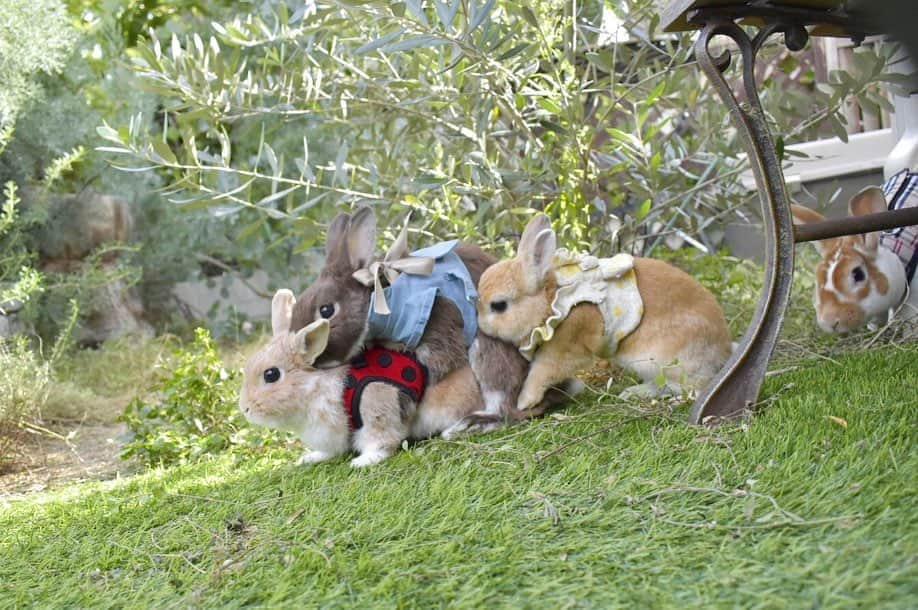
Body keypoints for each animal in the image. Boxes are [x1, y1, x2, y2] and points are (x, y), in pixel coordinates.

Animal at [474, 214, 732, 414]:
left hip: (668, 364)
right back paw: (632, 393)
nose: (479, 324)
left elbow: (541, 373)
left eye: (498, 306)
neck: (552, 302)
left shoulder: (564, 348)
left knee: (693, 389)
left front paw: (523, 402)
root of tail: (723, 350)